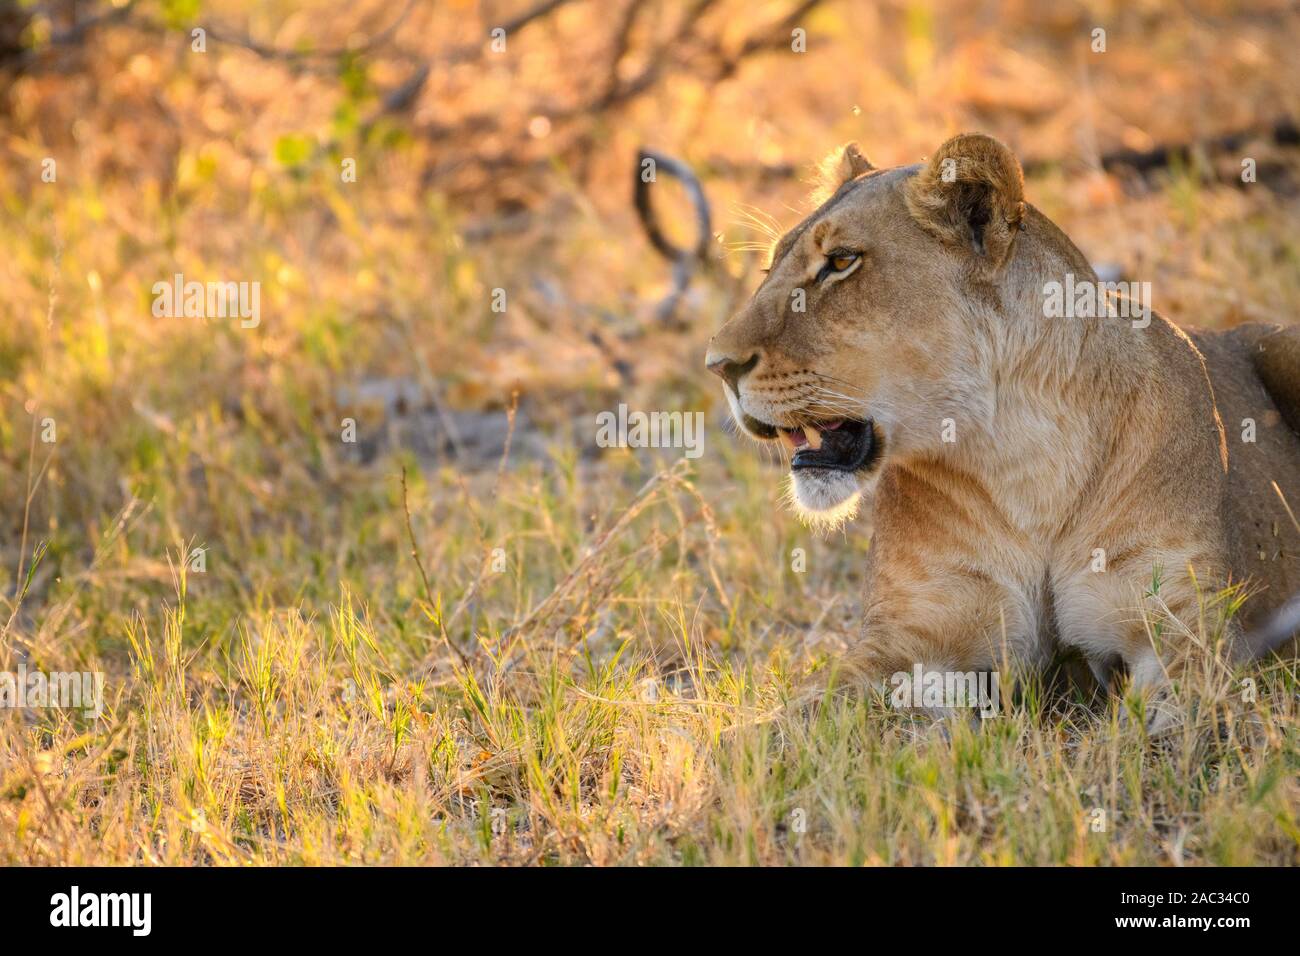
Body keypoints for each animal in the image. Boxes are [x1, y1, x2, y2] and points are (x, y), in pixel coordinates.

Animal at [705, 133, 1300, 702]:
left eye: (841, 262)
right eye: (770, 266)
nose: (718, 365)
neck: (1022, 456)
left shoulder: (1187, 627)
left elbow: (1179, 728)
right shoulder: (906, 632)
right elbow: (796, 717)